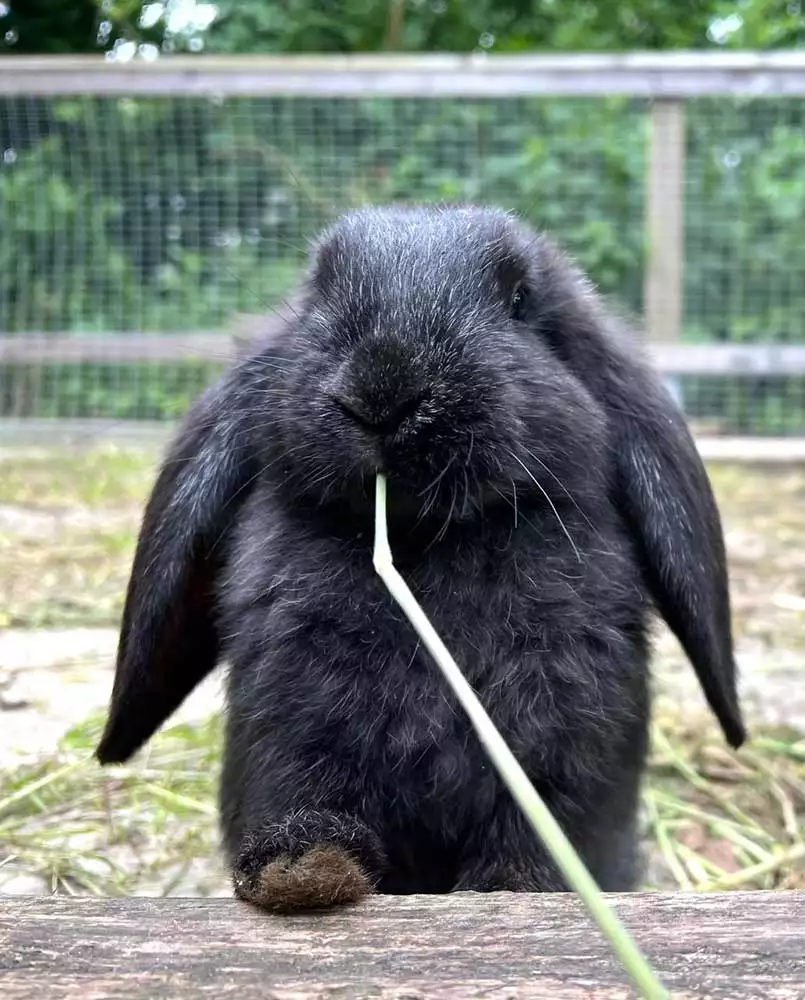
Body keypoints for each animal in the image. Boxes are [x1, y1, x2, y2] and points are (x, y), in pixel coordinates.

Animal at [96, 204, 745, 912]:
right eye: (318, 292)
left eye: (520, 301)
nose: (385, 386)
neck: (428, 543)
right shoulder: (291, 731)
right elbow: (303, 797)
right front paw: (302, 867)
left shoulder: (562, 744)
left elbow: (533, 841)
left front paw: (515, 889)